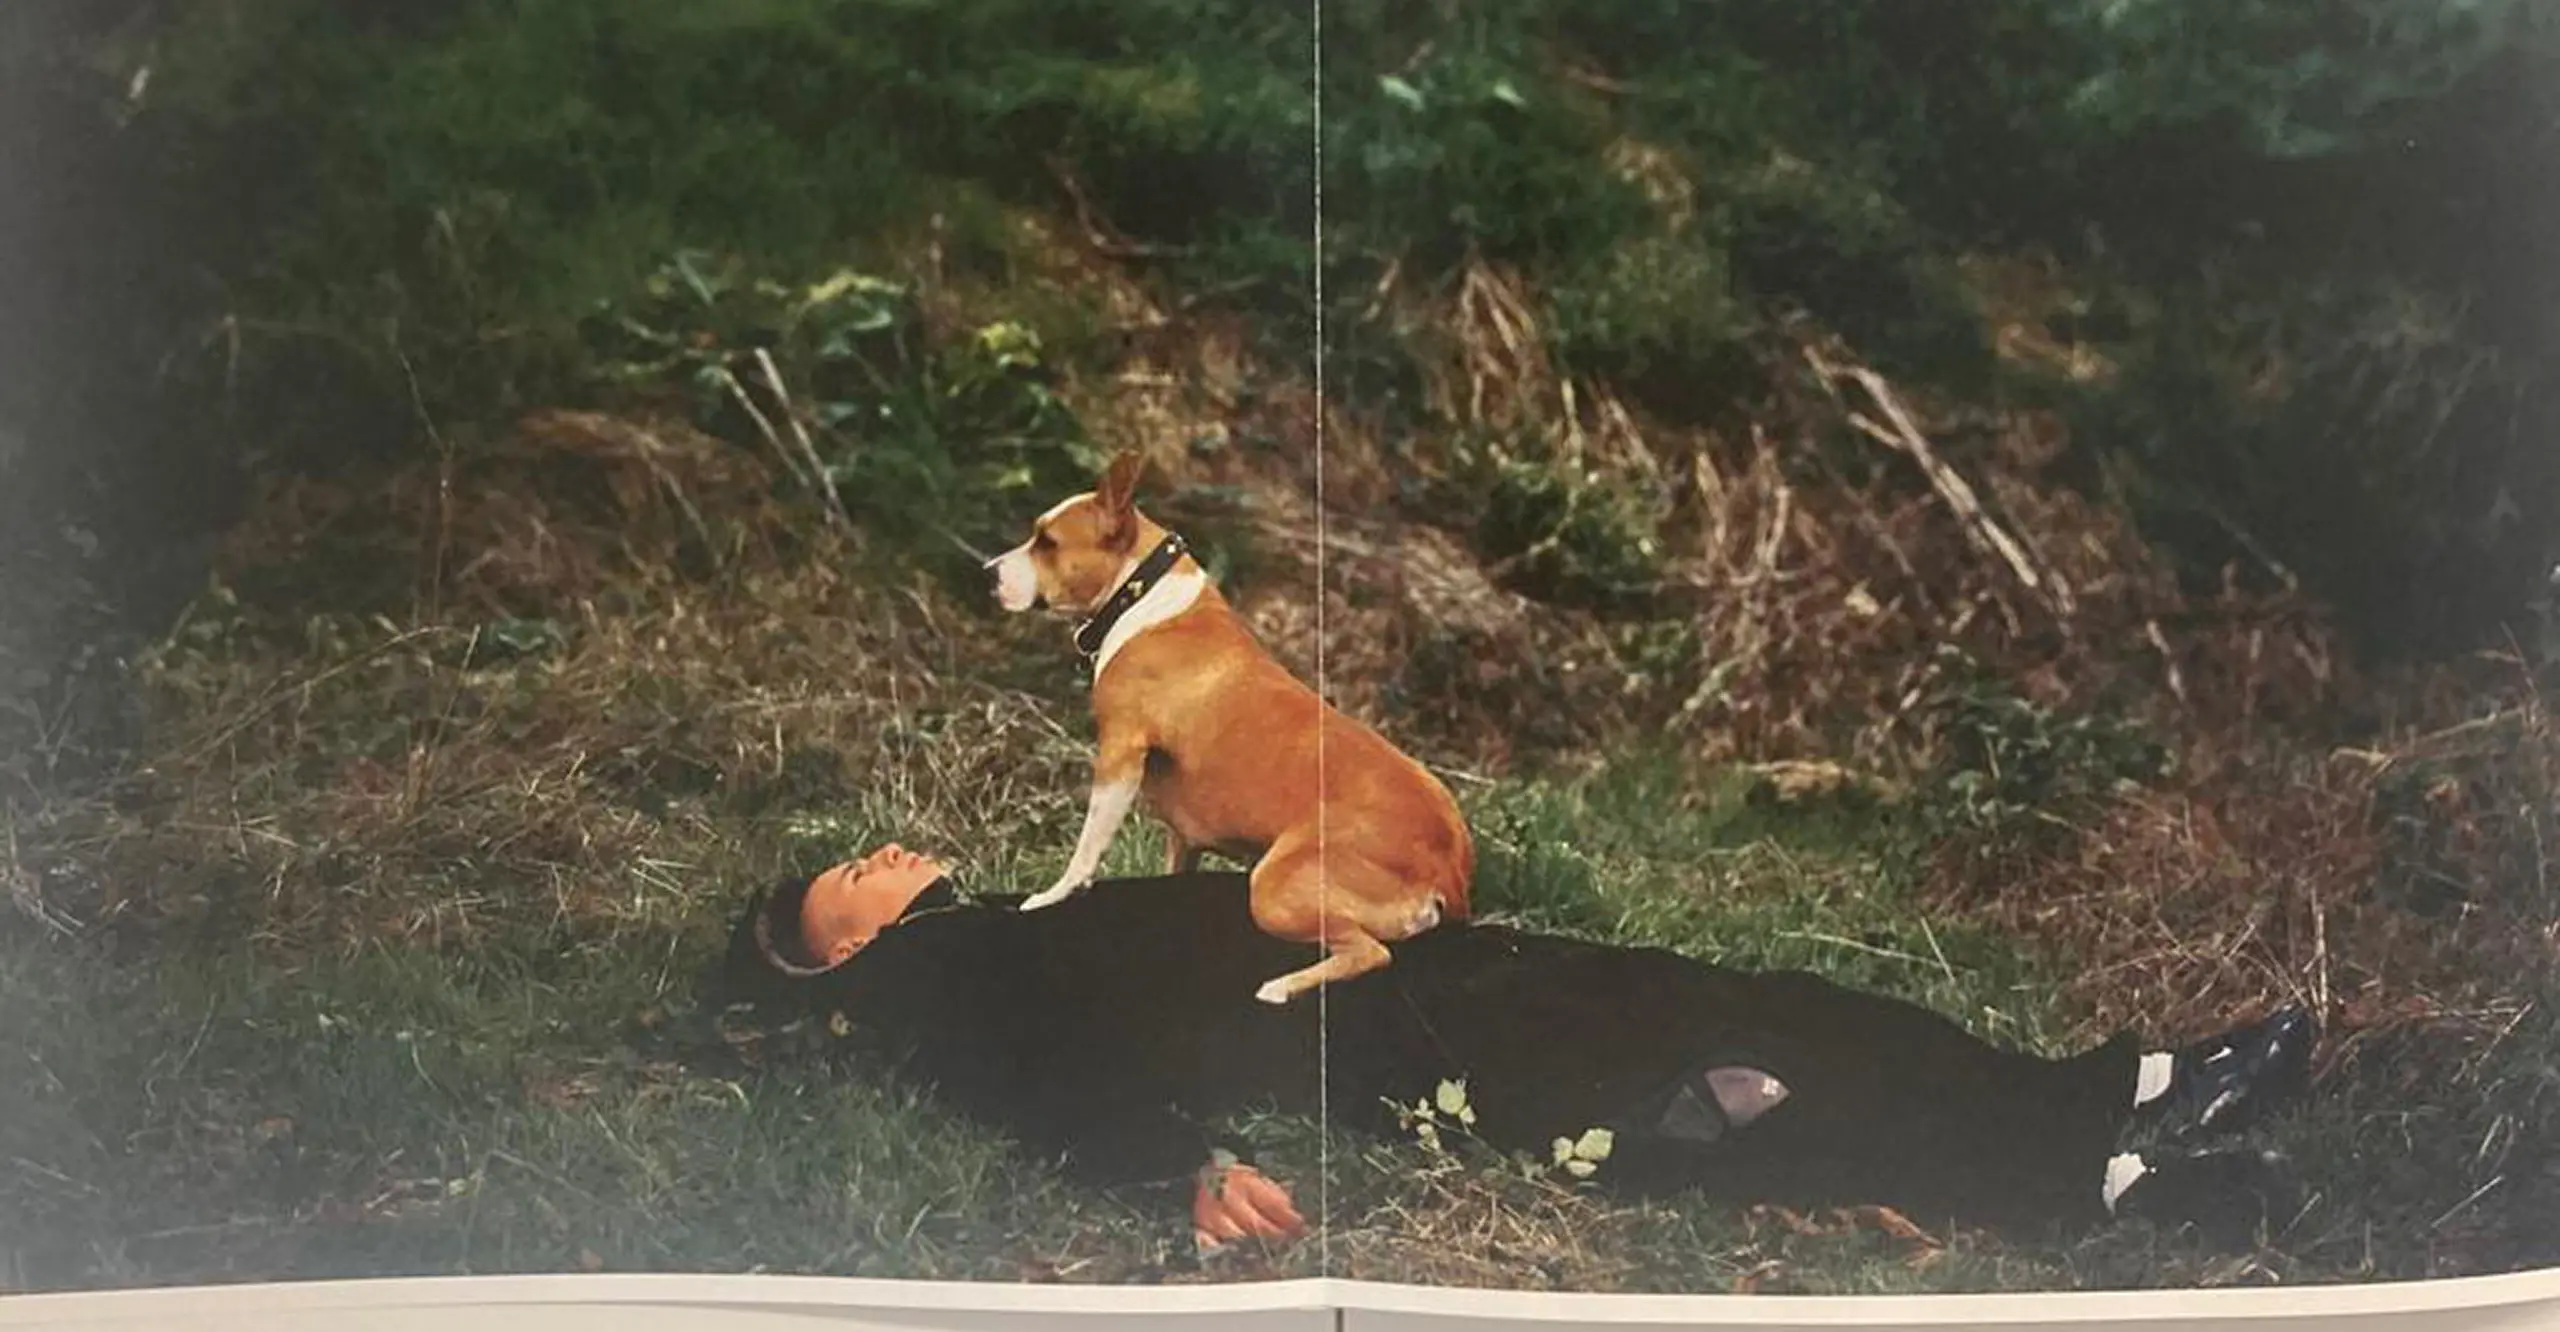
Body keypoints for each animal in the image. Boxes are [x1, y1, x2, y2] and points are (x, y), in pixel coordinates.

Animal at [972, 453, 1474, 1004]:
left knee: (1371, 953)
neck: (1139, 595)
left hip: (1274, 887)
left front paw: (1053, 894)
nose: (986, 573)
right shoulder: (1182, 839)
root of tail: (1451, 865)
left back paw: (1282, 987)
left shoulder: (1119, 756)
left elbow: (1086, 848)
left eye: (1047, 542)